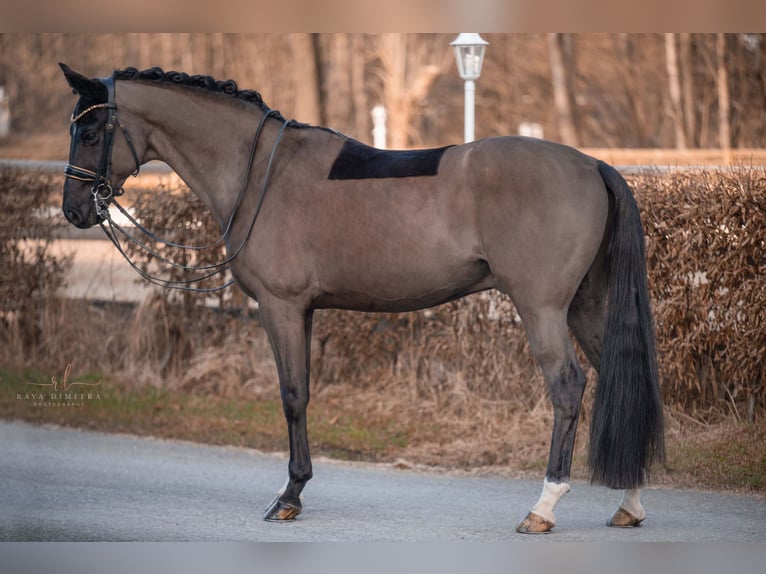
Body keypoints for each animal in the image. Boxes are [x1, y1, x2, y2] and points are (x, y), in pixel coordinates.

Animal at [60, 64, 664, 536]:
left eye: (90, 131)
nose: (73, 210)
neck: (262, 175)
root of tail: (591, 165)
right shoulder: (303, 310)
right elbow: (302, 393)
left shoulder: (280, 307)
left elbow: (292, 395)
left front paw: (289, 497)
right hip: (585, 307)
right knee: (618, 374)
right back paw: (630, 503)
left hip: (542, 310)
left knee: (567, 386)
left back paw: (544, 506)